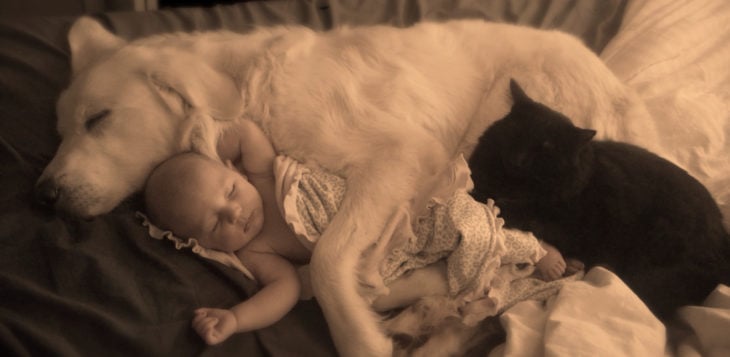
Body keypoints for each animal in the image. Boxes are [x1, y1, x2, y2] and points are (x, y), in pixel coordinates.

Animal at [37, 18, 656, 354]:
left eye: (99, 120)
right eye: (61, 131)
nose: (44, 194)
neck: (249, 91)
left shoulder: (400, 154)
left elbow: (332, 257)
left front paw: (360, 334)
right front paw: (396, 298)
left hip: (499, 122)